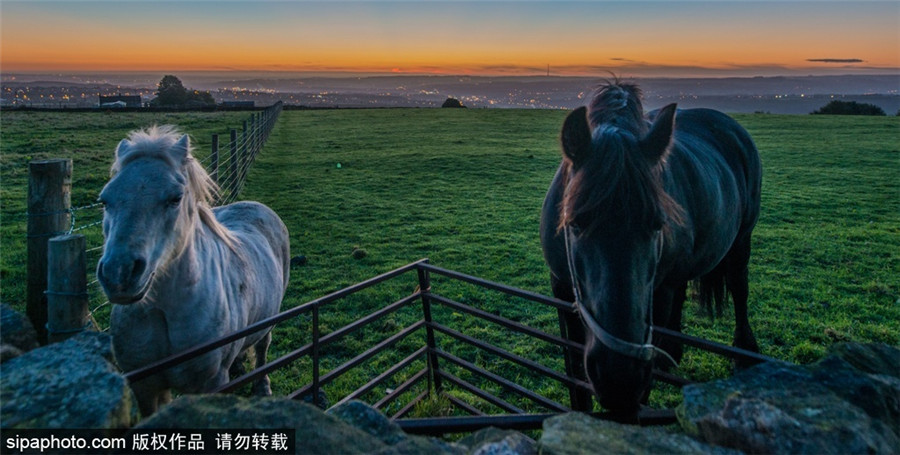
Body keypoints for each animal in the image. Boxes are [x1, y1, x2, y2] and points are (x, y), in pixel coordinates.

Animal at [98, 125, 288, 416]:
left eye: (175, 198)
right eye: (104, 200)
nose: (119, 273)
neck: (164, 309)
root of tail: (256, 205)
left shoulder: (211, 383)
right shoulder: (145, 387)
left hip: (268, 320)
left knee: (262, 349)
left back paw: (262, 387)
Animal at [536, 82, 764, 420]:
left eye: (658, 224)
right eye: (575, 223)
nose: (618, 376)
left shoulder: (658, 294)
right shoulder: (561, 287)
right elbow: (574, 370)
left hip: (740, 242)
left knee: (739, 287)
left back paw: (744, 353)